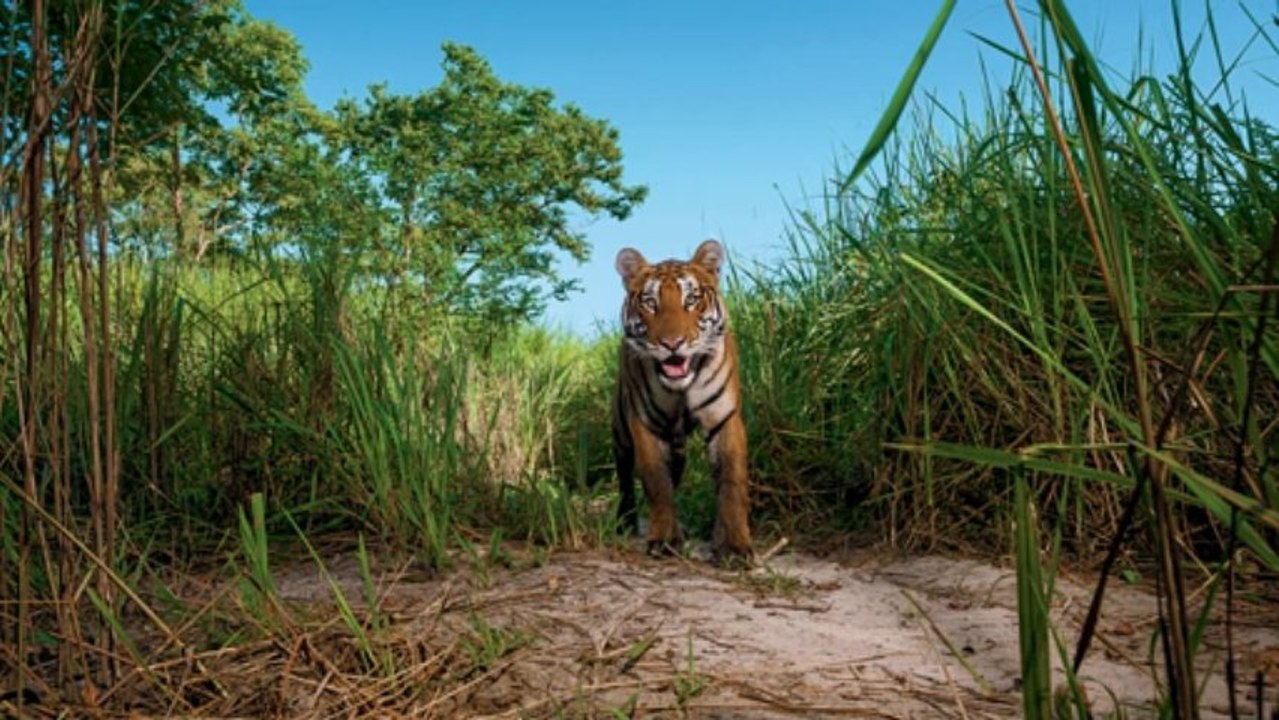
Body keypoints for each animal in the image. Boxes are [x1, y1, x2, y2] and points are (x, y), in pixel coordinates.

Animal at [612, 239, 753, 563]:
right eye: (650, 302)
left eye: (692, 299)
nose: (672, 343)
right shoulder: (645, 425)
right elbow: (657, 483)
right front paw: (664, 540)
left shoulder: (724, 419)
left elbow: (731, 484)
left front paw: (734, 546)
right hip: (621, 430)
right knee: (625, 476)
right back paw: (625, 522)